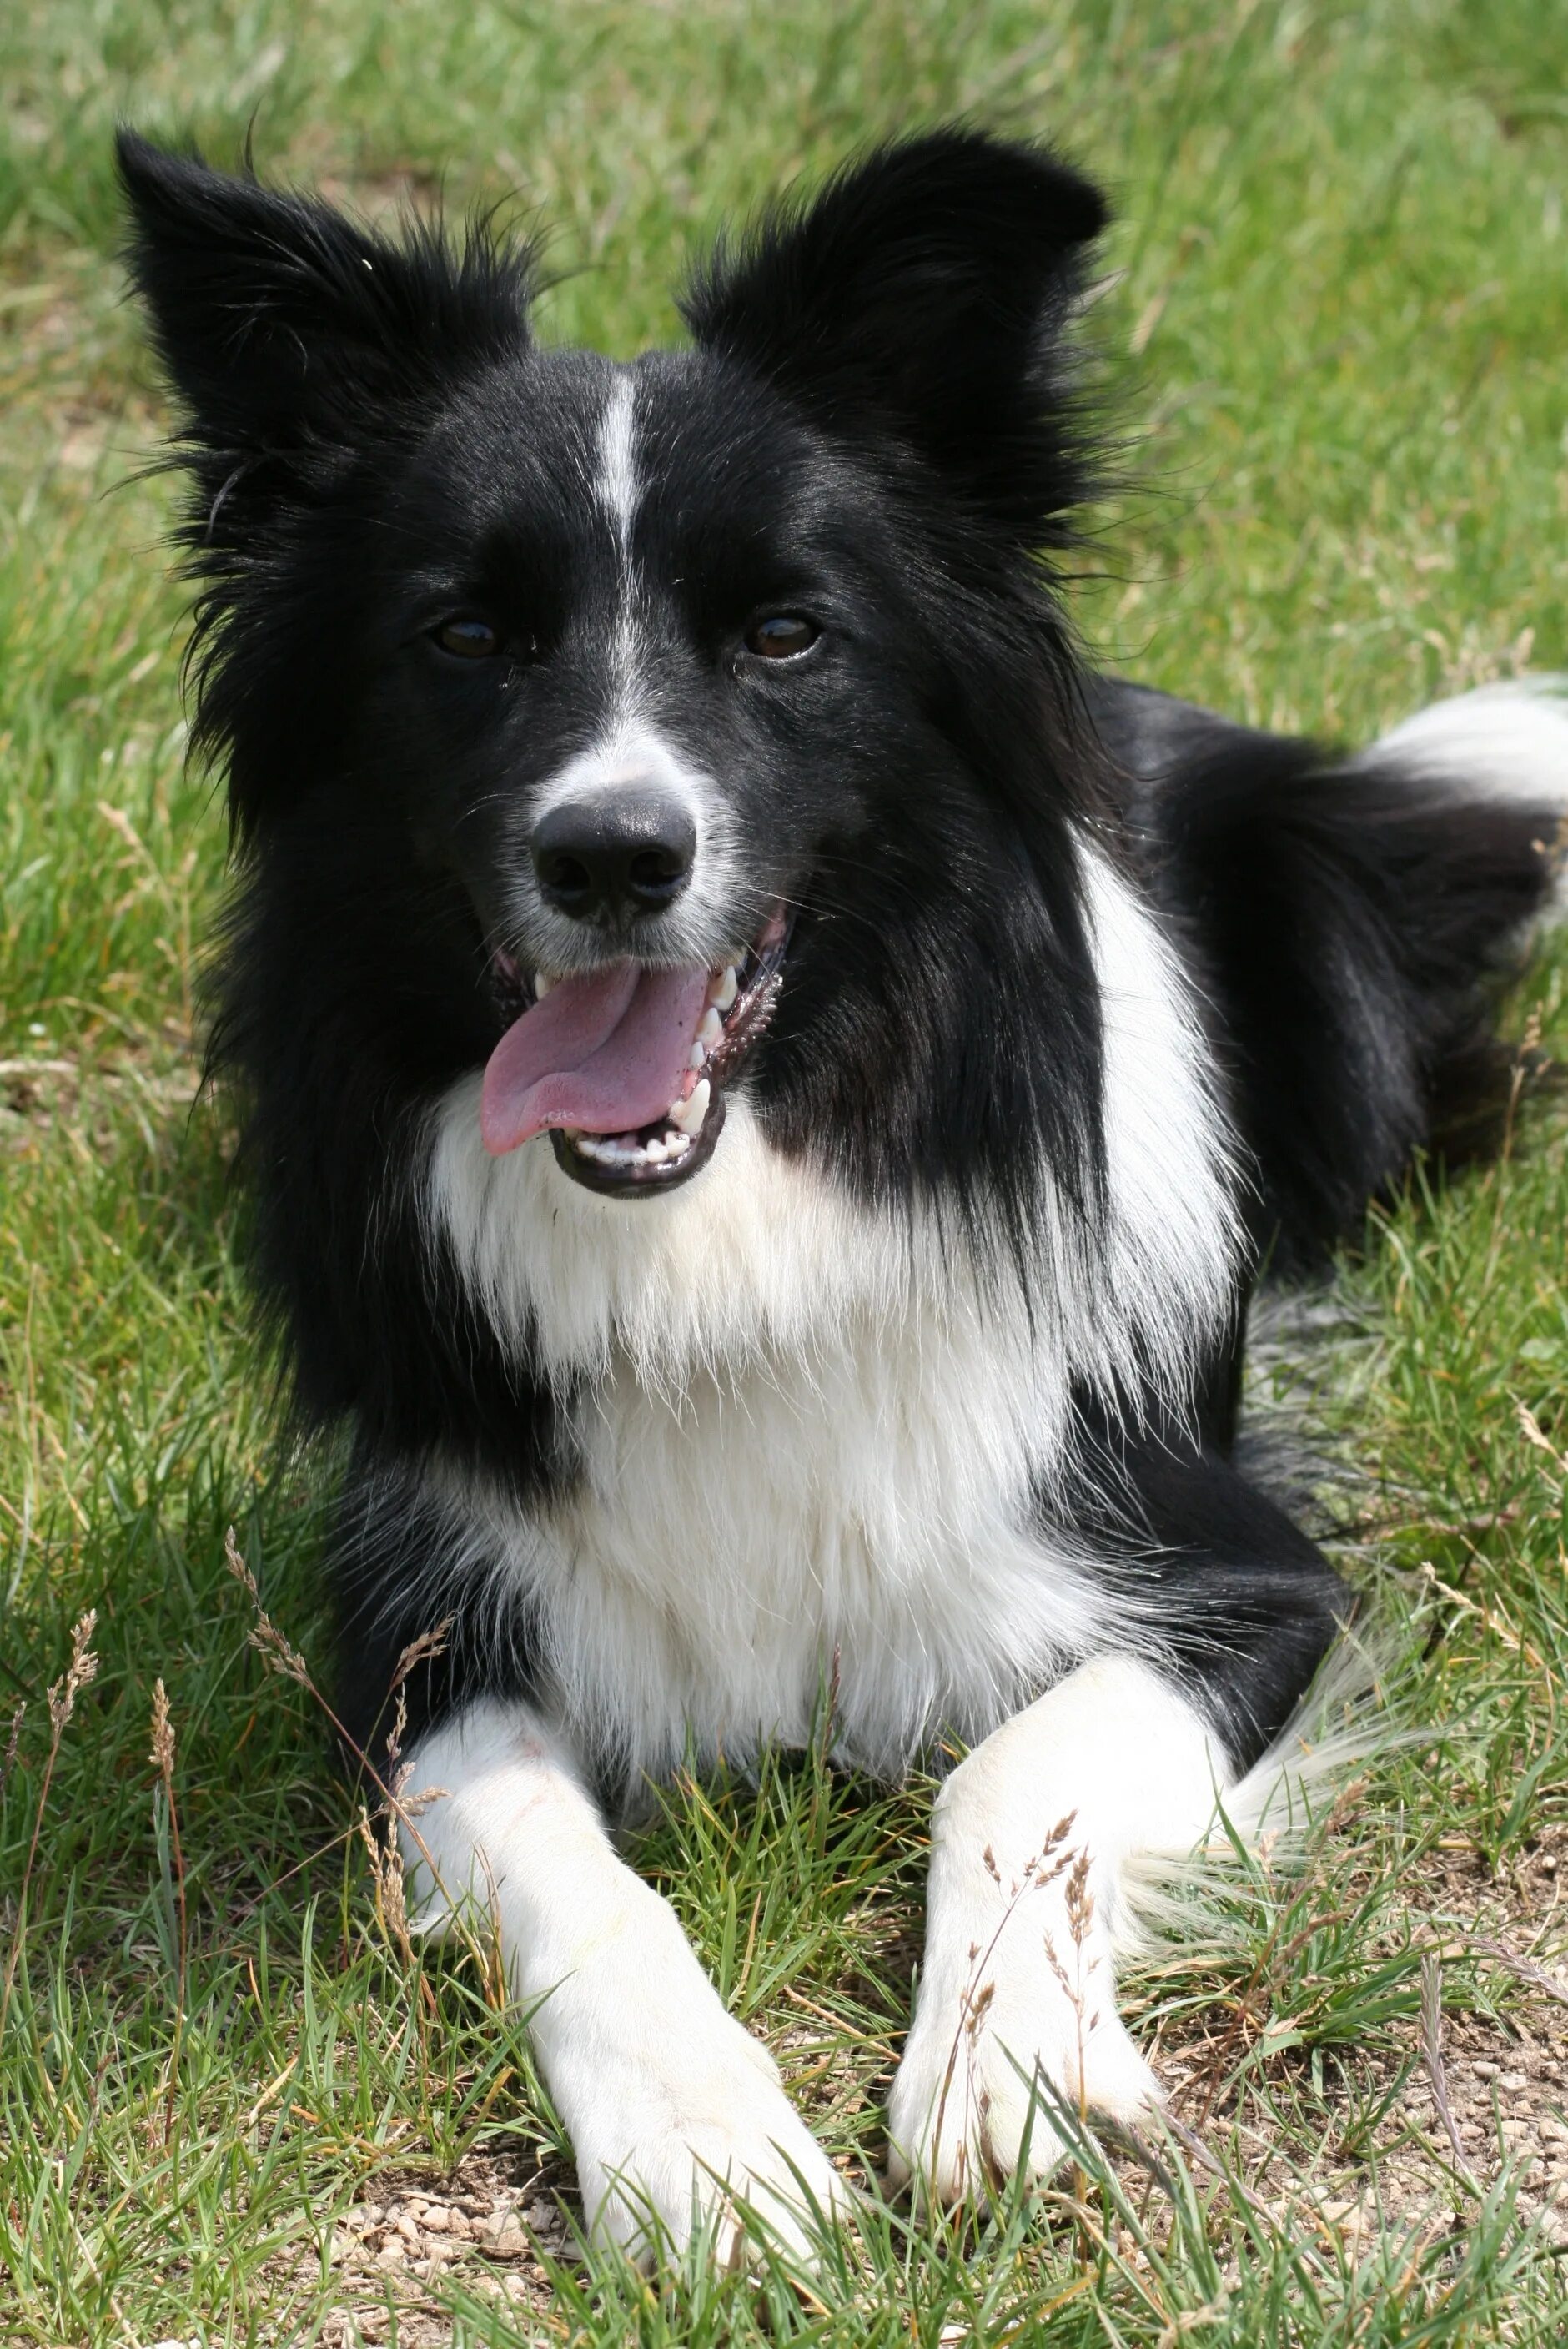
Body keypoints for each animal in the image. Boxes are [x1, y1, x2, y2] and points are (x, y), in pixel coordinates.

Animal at [116, 128, 1558, 2255]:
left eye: (785, 635)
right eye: (464, 637)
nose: (612, 853)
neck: (723, 1227)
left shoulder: (1232, 1577)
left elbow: (1012, 1769)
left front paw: (1001, 2070)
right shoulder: (416, 1632)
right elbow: (564, 1857)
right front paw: (703, 2149)